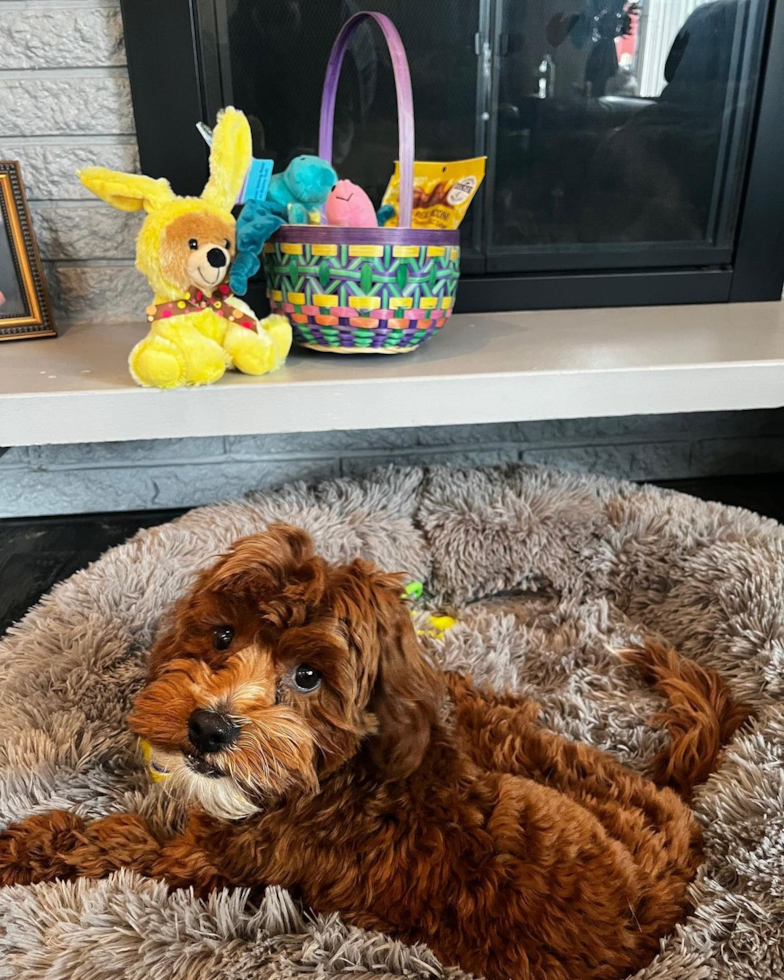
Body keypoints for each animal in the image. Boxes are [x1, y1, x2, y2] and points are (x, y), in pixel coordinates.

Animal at [0, 528, 748, 980]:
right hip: (532, 751)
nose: (208, 729)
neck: (339, 776)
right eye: (221, 635)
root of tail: (674, 814)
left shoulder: (214, 860)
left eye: (308, 677)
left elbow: (113, 845)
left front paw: (22, 848)